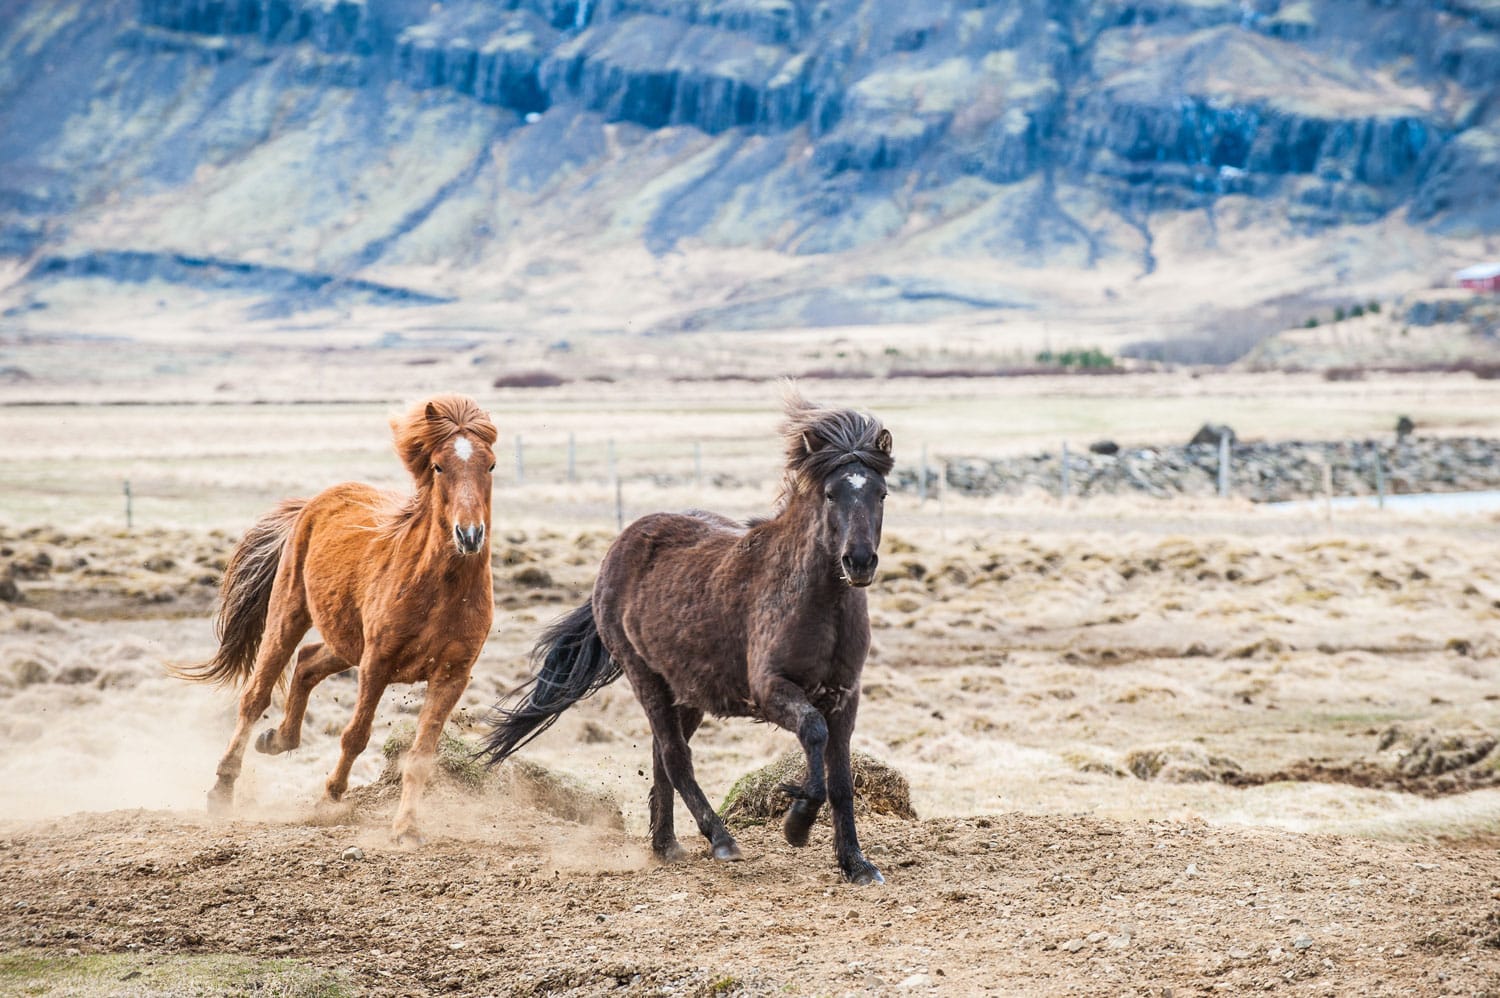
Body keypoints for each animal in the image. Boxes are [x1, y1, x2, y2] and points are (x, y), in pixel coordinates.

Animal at [176, 394, 498, 844]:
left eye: (491, 465)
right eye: (438, 466)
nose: (469, 535)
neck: (441, 590)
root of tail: (312, 503)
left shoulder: (452, 675)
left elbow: (420, 756)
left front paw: (406, 828)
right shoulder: (377, 664)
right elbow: (356, 736)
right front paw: (330, 797)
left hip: (345, 642)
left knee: (308, 662)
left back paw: (277, 738)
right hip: (288, 617)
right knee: (256, 695)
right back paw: (223, 788)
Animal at [481, 389, 893, 885]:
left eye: (881, 492)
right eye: (831, 493)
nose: (859, 561)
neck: (816, 601)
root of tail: (616, 551)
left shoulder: (845, 695)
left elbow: (842, 781)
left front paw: (856, 864)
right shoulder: (772, 690)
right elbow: (813, 734)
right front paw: (797, 823)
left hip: (689, 692)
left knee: (663, 756)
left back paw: (666, 844)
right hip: (646, 679)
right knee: (676, 757)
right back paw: (720, 840)